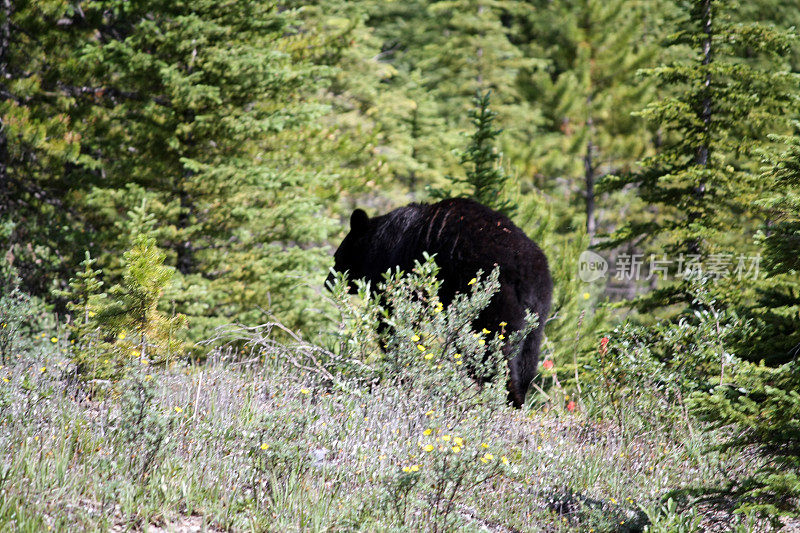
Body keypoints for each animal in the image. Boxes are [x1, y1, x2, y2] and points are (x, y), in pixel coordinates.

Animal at [326, 196, 552, 408]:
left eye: (337, 258)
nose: (327, 282)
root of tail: (525, 273)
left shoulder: (398, 271)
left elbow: (393, 319)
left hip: (494, 306)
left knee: (495, 355)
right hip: (537, 314)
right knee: (527, 360)